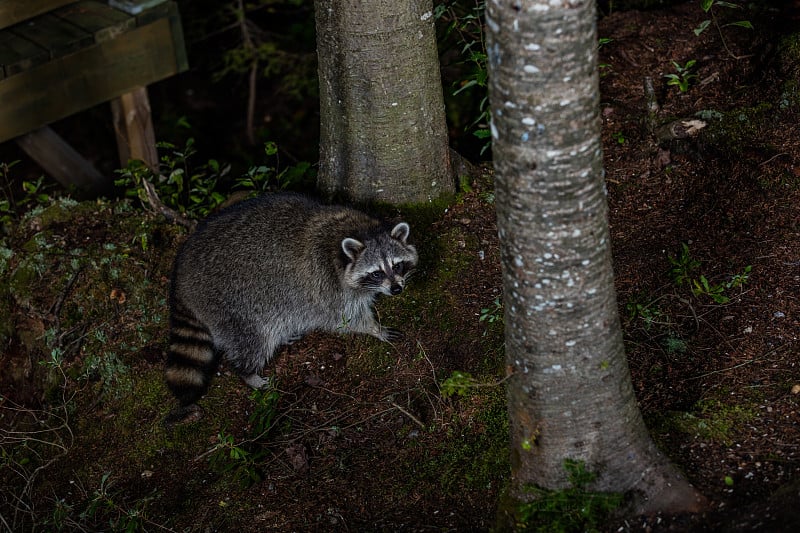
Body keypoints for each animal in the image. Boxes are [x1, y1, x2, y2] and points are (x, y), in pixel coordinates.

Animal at [166, 193, 422, 422]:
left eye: (397, 266)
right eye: (376, 273)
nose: (396, 289)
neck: (358, 230)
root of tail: (180, 276)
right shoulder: (328, 284)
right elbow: (345, 318)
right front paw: (374, 329)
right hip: (230, 304)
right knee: (252, 339)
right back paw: (248, 373)